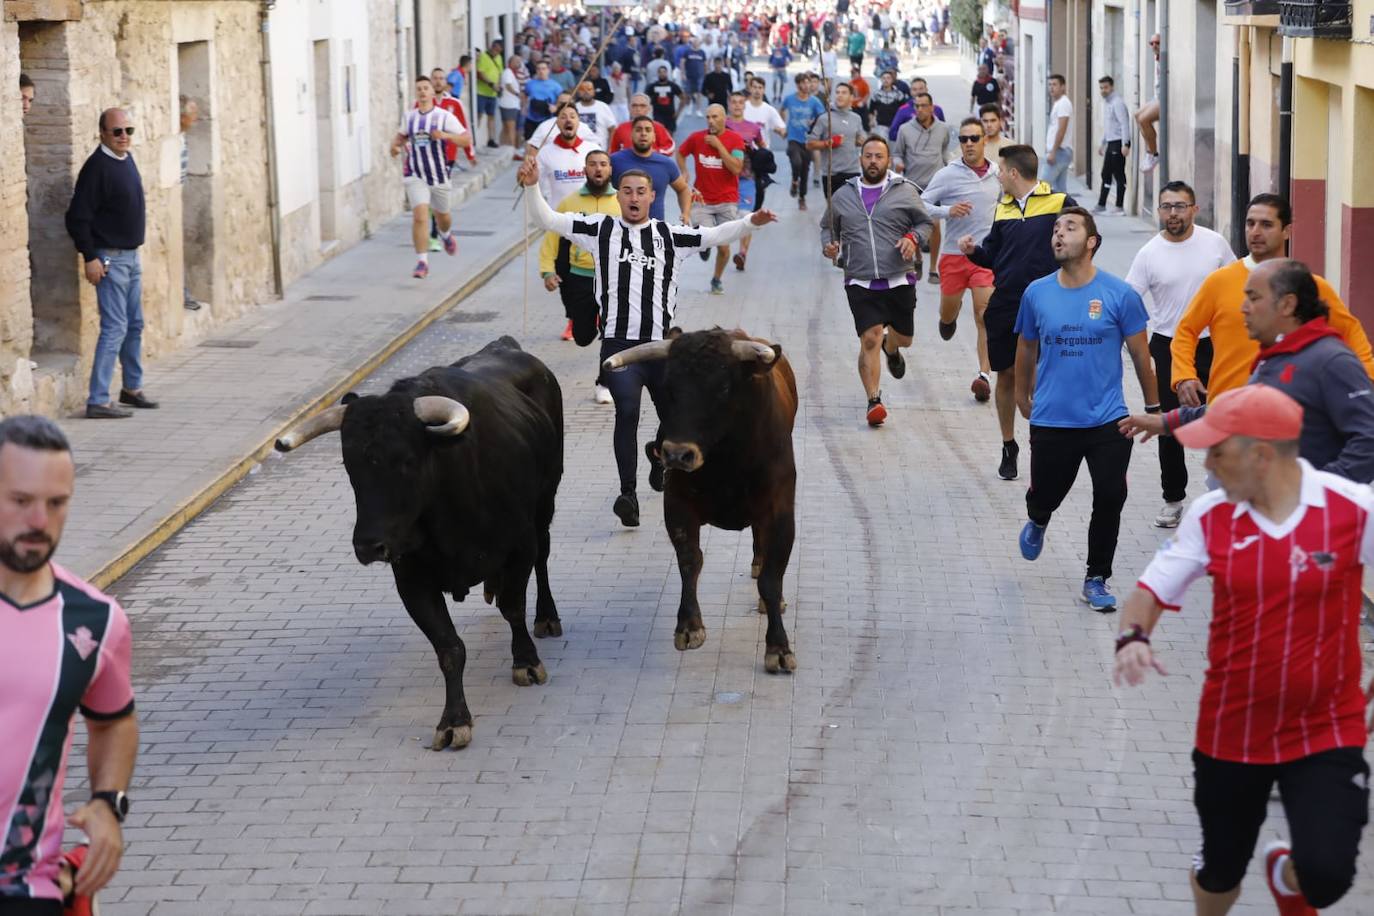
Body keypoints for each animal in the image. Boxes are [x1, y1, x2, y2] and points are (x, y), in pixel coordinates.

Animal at [274, 339, 563, 752]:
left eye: (406, 461)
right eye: (349, 466)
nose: (368, 546)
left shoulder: (519, 546)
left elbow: (513, 607)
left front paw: (525, 661)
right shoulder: (411, 579)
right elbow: (449, 647)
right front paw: (454, 720)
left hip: (545, 502)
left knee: (544, 555)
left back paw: (547, 616)